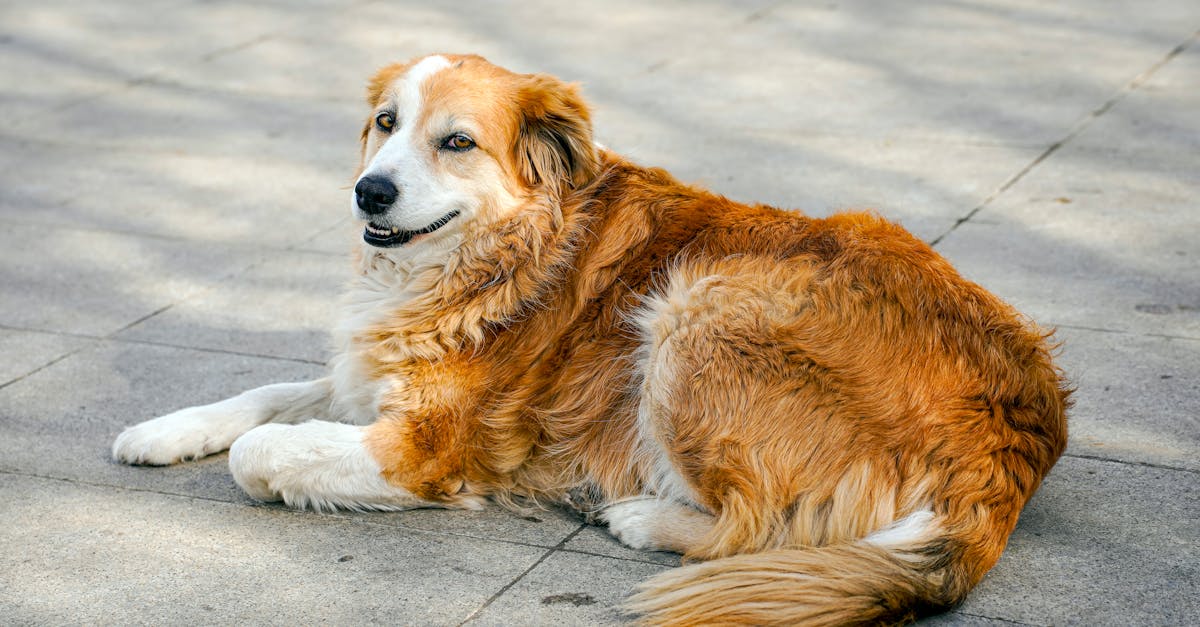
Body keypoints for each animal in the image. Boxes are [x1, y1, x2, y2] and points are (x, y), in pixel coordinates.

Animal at [112, 54, 1070, 624]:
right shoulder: (371, 368)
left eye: (455, 142)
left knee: (766, 527)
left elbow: (267, 449)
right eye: (386, 123)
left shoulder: (426, 443)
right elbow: (272, 390)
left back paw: (639, 514)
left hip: (698, 309)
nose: (369, 192)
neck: (502, 249)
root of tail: (1019, 427)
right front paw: (162, 429)